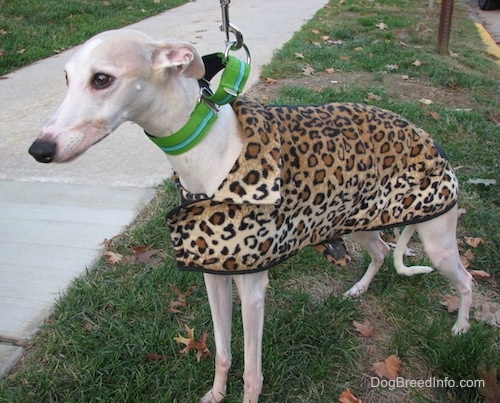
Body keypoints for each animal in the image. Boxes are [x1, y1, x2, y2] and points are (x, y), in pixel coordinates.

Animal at [29, 30, 470, 402]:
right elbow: (224, 352)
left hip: (437, 238)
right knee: (380, 252)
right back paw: (359, 289)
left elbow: (253, 369)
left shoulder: (253, 286)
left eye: (102, 79)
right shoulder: (213, 273)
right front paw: (215, 394)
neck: (208, 150)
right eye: (66, 78)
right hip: (359, 220)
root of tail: (424, 134)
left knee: (464, 280)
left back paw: (462, 327)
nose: (39, 149)